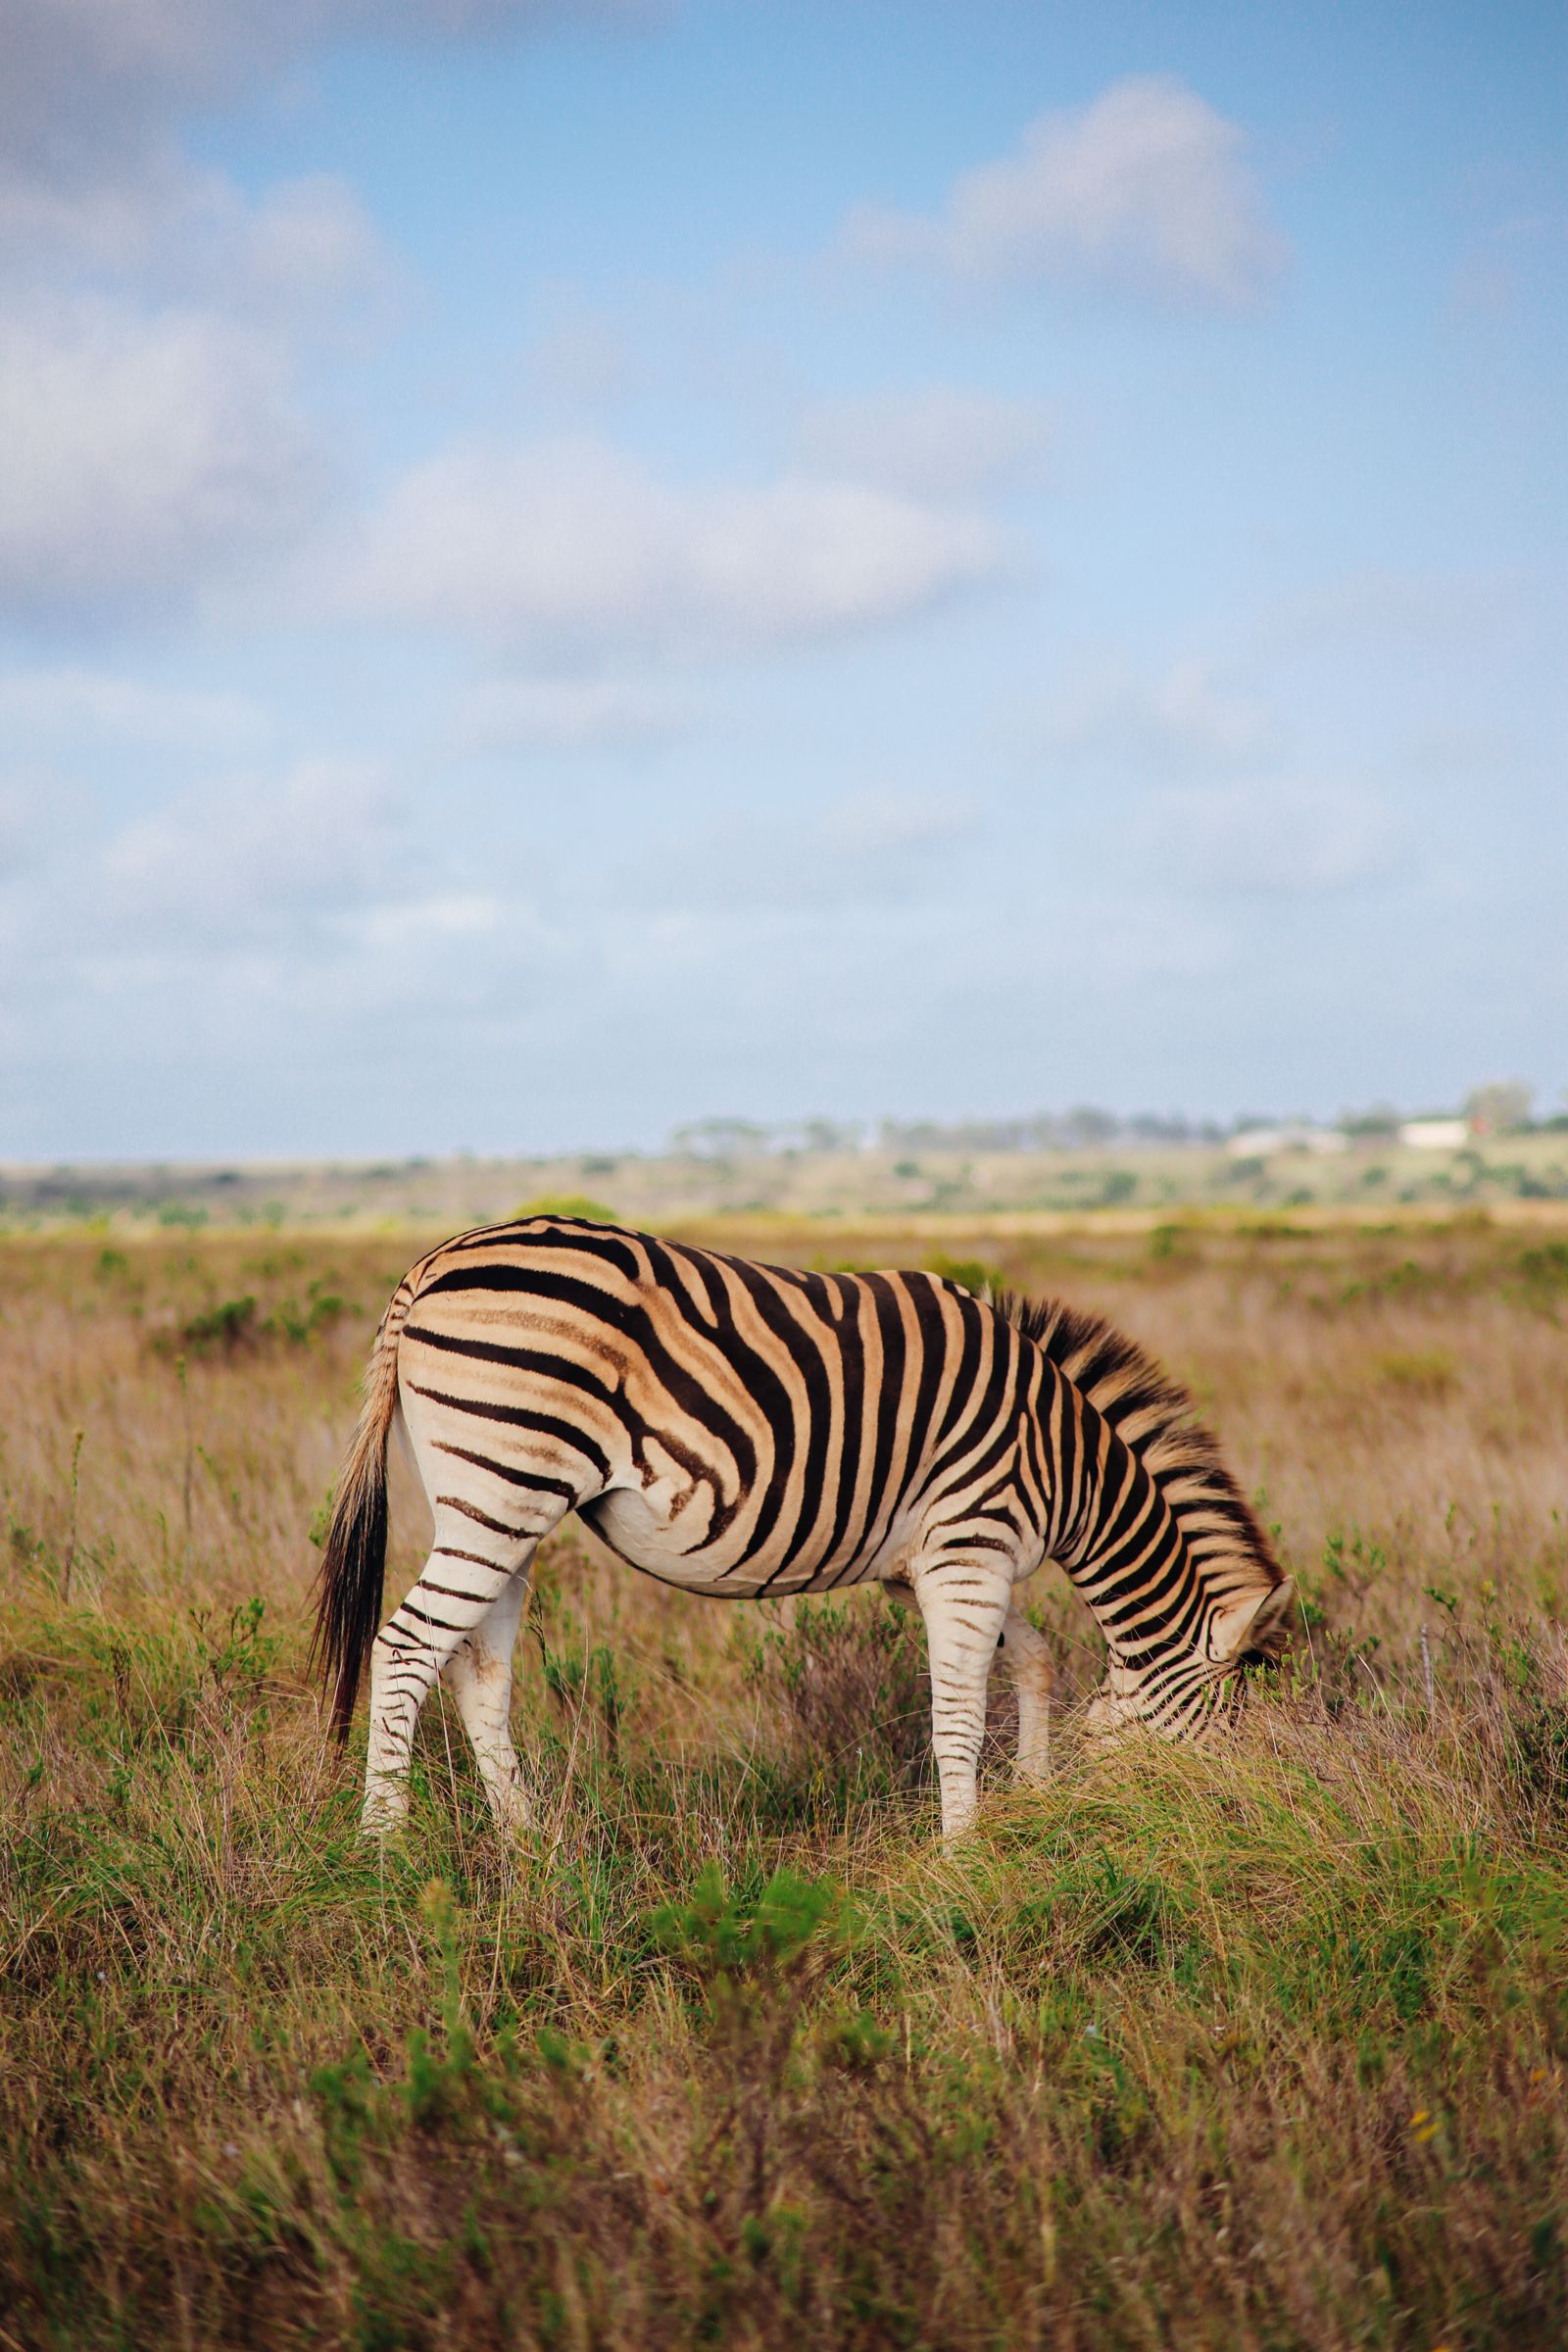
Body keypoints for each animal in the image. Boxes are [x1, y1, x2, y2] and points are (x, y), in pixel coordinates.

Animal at [313, 1213, 1298, 1835]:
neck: (1068, 1464)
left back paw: (527, 1849)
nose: (1248, 1824)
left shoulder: (934, 1561)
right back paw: (385, 1855)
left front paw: (1034, 1799)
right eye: (1233, 1742)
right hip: (505, 1482)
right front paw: (963, 1858)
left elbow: (1037, 1659)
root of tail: (429, 1265)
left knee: (477, 1665)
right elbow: (957, 1715)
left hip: (500, 1503)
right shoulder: (971, 1545)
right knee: (406, 1647)